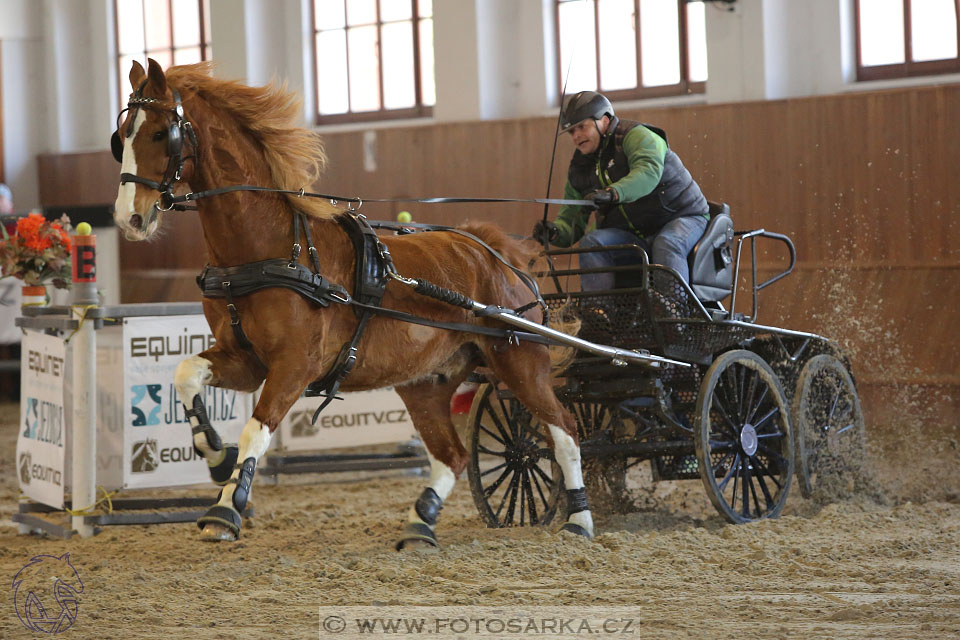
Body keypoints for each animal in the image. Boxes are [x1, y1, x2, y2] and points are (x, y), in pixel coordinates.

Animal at [112, 61, 592, 544]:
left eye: (161, 134)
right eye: (120, 138)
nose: (127, 217)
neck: (270, 249)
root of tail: (497, 253)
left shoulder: (296, 366)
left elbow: (255, 431)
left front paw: (227, 508)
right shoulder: (246, 361)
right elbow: (185, 374)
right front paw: (216, 455)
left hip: (520, 362)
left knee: (564, 434)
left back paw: (579, 520)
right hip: (426, 381)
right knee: (453, 455)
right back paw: (421, 521)